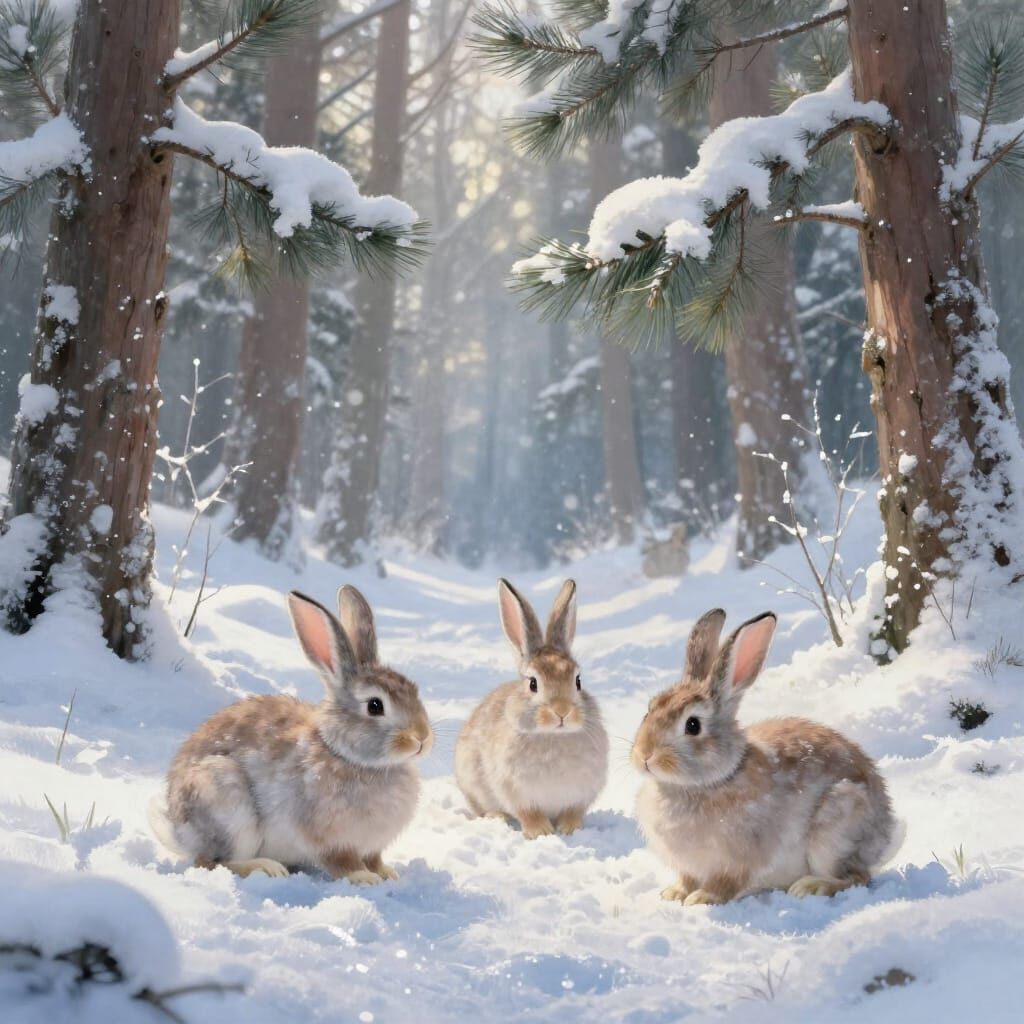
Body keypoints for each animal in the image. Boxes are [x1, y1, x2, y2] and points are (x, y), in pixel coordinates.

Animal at [149, 586, 433, 882]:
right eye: (375, 706)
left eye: (415, 690)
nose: (422, 738)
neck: (349, 757)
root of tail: (178, 829)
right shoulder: (328, 838)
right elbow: (342, 862)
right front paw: (363, 878)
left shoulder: (371, 845)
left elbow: (374, 859)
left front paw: (387, 874)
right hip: (225, 803)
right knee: (211, 861)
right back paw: (265, 868)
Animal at [455, 578, 609, 838]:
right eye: (533, 683)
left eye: (578, 681)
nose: (562, 711)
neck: (554, 736)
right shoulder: (515, 790)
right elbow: (529, 813)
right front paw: (542, 833)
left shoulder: (581, 794)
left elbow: (573, 811)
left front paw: (569, 829)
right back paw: (497, 817)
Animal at [633, 608, 896, 905]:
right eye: (649, 709)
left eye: (693, 725)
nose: (645, 756)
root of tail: (886, 828)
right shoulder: (688, 866)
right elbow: (686, 878)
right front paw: (674, 894)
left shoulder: (739, 857)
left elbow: (725, 883)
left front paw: (702, 898)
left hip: (836, 831)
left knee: (858, 876)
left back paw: (812, 887)